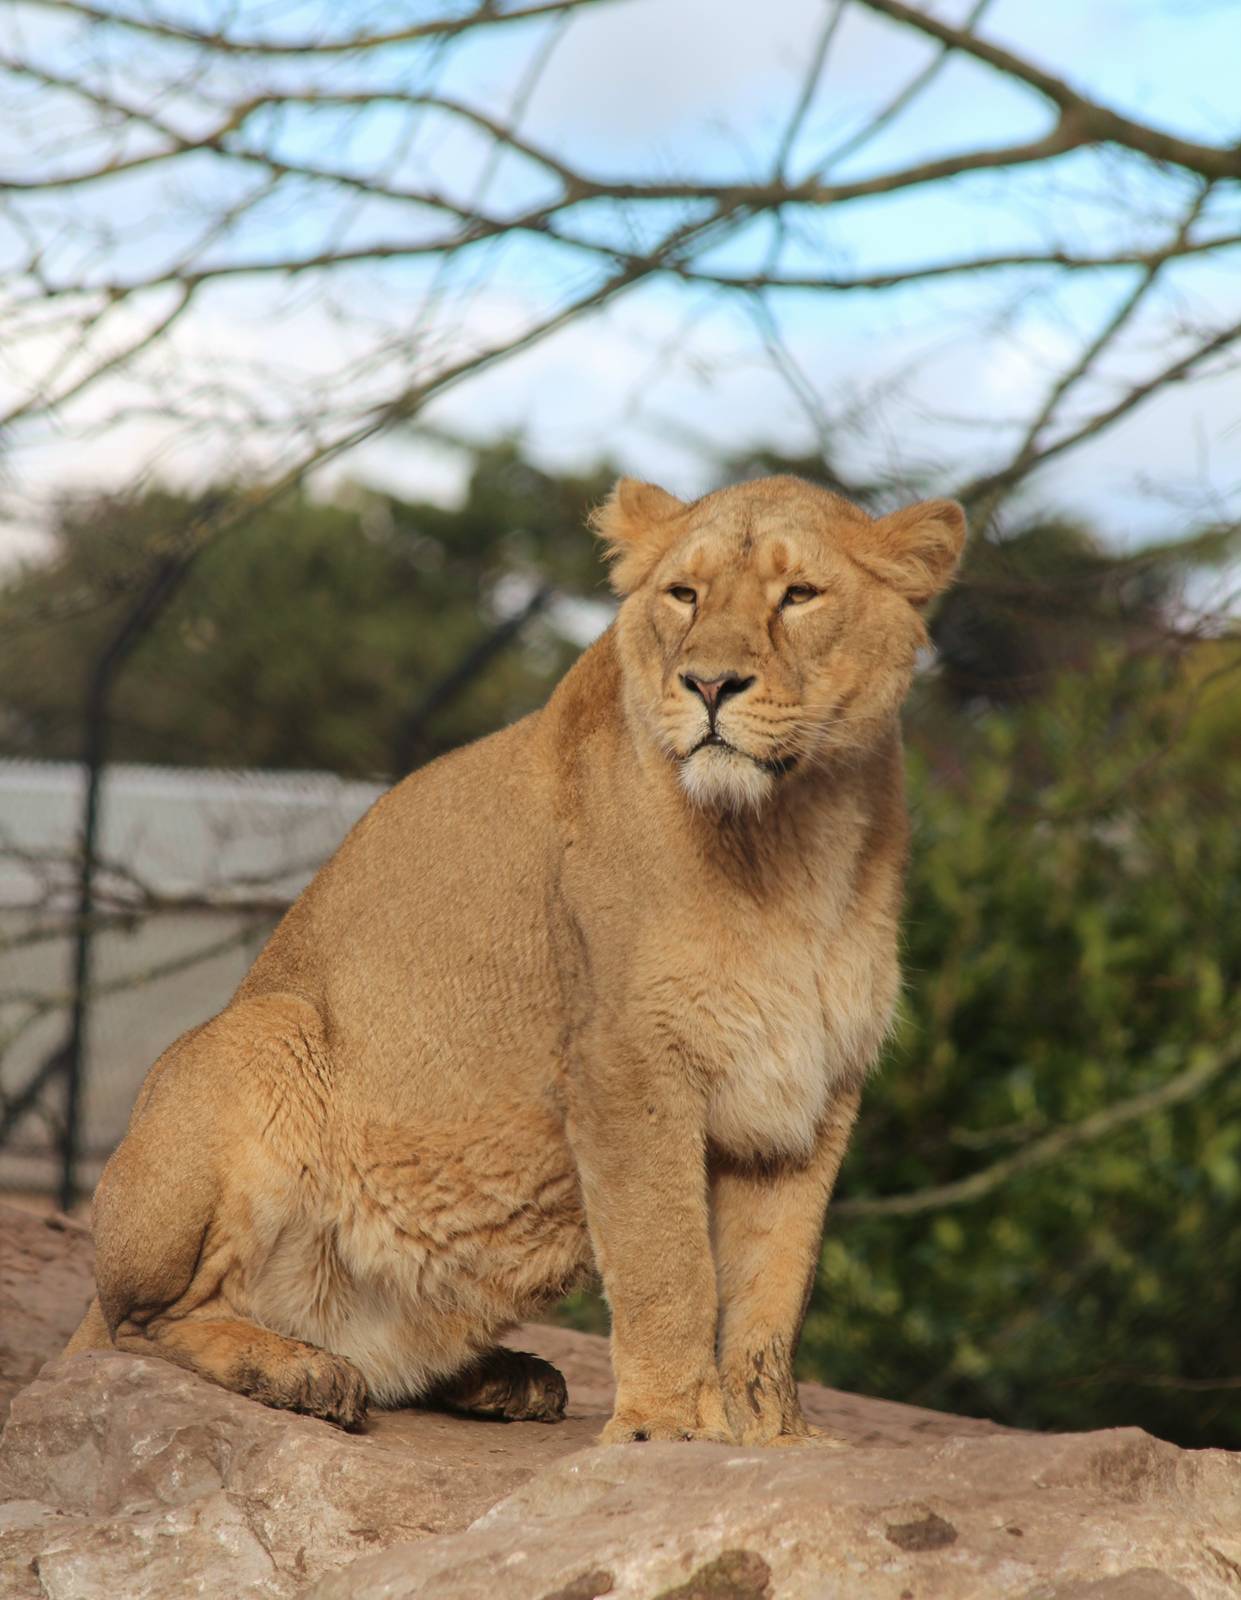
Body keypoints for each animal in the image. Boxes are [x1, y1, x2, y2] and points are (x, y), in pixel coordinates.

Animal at [66, 473, 965, 1445]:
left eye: (798, 595)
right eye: (683, 595)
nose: (708, 683)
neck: (795, 839)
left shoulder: (810, 1089)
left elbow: (771, 1292)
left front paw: (773, 1440)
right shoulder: (624, 1061)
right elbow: (669, 1262)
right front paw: (670, 1431)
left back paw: (499, 1377)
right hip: (264, 1036)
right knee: (138, 1327)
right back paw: (296, 1368)